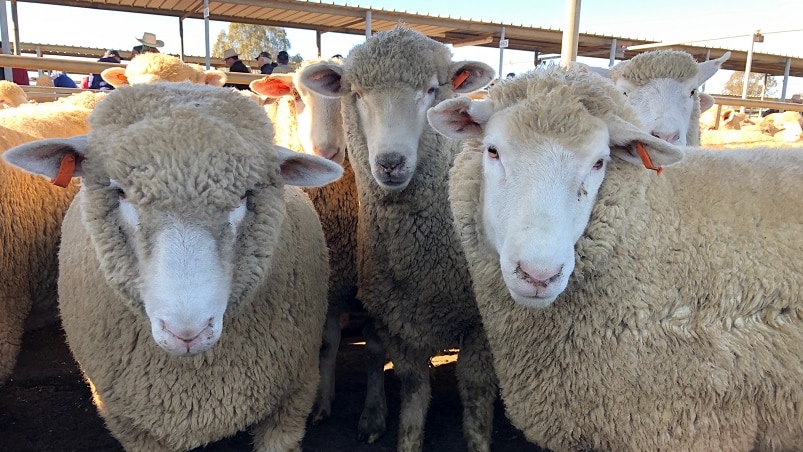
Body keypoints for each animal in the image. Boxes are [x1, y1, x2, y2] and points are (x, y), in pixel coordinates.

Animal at [2, 82, 346, 452]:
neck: (191, 385)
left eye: (244, 194)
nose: (187, 332)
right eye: (119, 192)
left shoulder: (292, 402)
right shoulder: (133, 428)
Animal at [298, 26, 500, 450]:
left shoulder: (482, 327)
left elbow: (475, 397)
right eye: (356, 94)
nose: (391, 163)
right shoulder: (398, 321)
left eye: (432, 89)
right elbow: (412, 392)